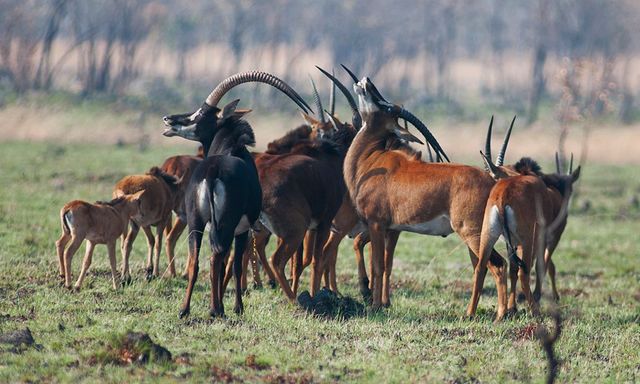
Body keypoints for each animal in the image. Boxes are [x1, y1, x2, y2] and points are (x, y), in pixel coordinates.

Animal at [160, 71, 310, 318]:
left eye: (200, 114)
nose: (168, 120)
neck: (231, 148)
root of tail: (213, 171)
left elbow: (227, 265)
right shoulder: (242, 229)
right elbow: (237, 266)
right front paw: (237, 307)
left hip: (196, 221)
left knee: (196, 261)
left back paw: (185, 310)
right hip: (226, 225)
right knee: (217, 257)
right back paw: (216, 310)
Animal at [344, 74, 520, 316]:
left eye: (387, 108)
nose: (367, 81)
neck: (370, 159)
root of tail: (494, 183)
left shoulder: (377, 223)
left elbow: (378, 265)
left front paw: (376, 305)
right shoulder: (388, 228)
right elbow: (379, 262)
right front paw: (374, 299)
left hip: (472, 233)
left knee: (496, 264)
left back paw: (490, 314)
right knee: (483, 265)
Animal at [468, 154, 584, 316]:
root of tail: (503, 196)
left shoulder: (512, 243)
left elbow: (513, 269)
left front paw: (512, 307)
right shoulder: (548, 237)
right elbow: (544, 265)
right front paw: (542, 297)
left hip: (487, 236)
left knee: (480, 268)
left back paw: (471, 313)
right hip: (528, 240)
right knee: (524, 273)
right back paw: (535, 311)